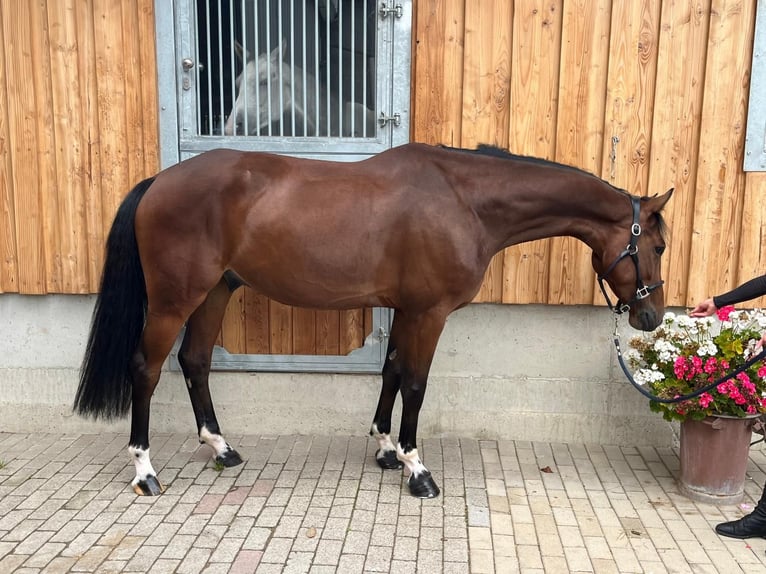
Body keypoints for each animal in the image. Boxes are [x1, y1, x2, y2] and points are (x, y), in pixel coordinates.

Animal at [72, 144, 672, 500]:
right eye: (659, 245)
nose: (650, 316)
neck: (465, 201)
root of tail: (158, 181)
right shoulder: (429, 313)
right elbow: (416, 384)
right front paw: (417, 470)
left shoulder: (406, 309)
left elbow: (391, 373)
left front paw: (386, 451)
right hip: (176, 299)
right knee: (146, 369)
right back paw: (145, 473)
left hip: (216, 291)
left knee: (195, 362)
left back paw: (223, 449)